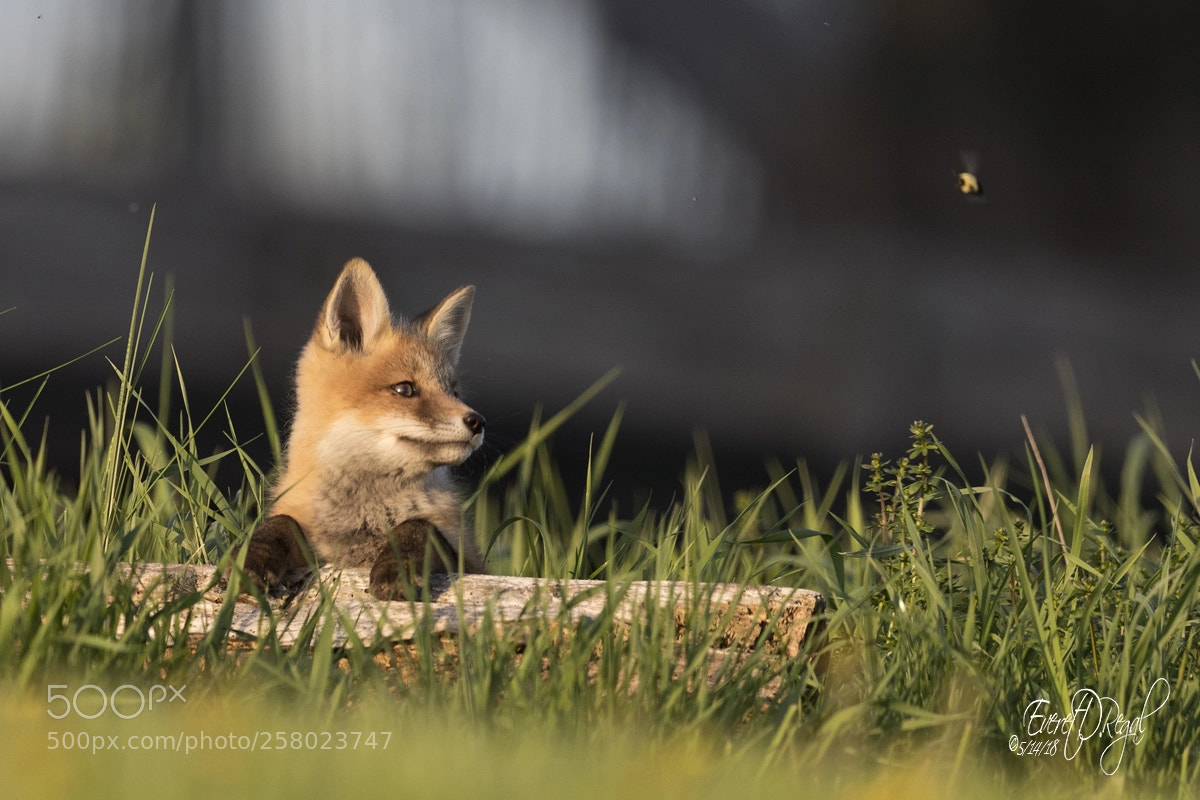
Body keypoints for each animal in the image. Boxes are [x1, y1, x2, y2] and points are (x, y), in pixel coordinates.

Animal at [238, 258, 487, 600]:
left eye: (453, 391)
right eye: (405, 389)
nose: (478, 422)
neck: (364, 516)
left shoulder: (470, 562)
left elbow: (419, 526)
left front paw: (398, 568)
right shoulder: (312, 543)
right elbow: (280, 523)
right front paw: (250, 559)